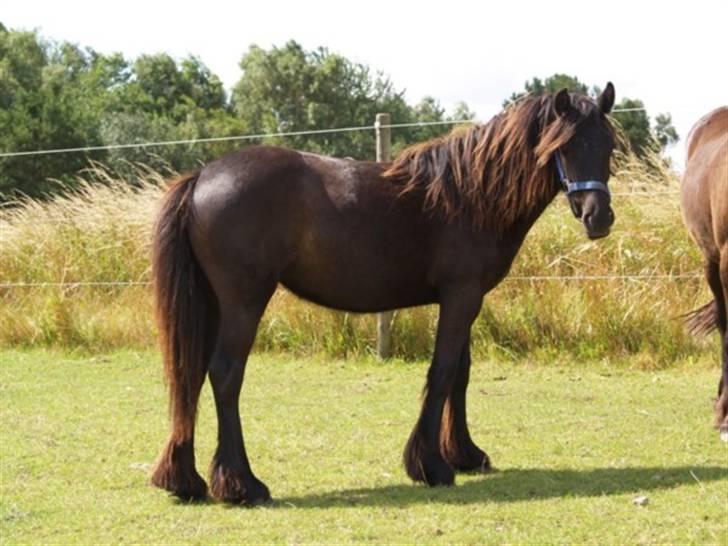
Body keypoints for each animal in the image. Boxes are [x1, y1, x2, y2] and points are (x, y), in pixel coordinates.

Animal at [150, 84, 618, 505]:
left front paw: (465, 454)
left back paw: (185, 481)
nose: (599, 218)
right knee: (226, 374)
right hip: (244, 301)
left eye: (608, 145)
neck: (471, 195)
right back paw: (242, 485)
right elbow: (443, 371)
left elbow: (461, 374)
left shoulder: (467, 300)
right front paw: (431, 465)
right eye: (566, 144)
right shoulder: (461, 296)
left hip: (211, 303)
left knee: (190, 372)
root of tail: (202, 177)